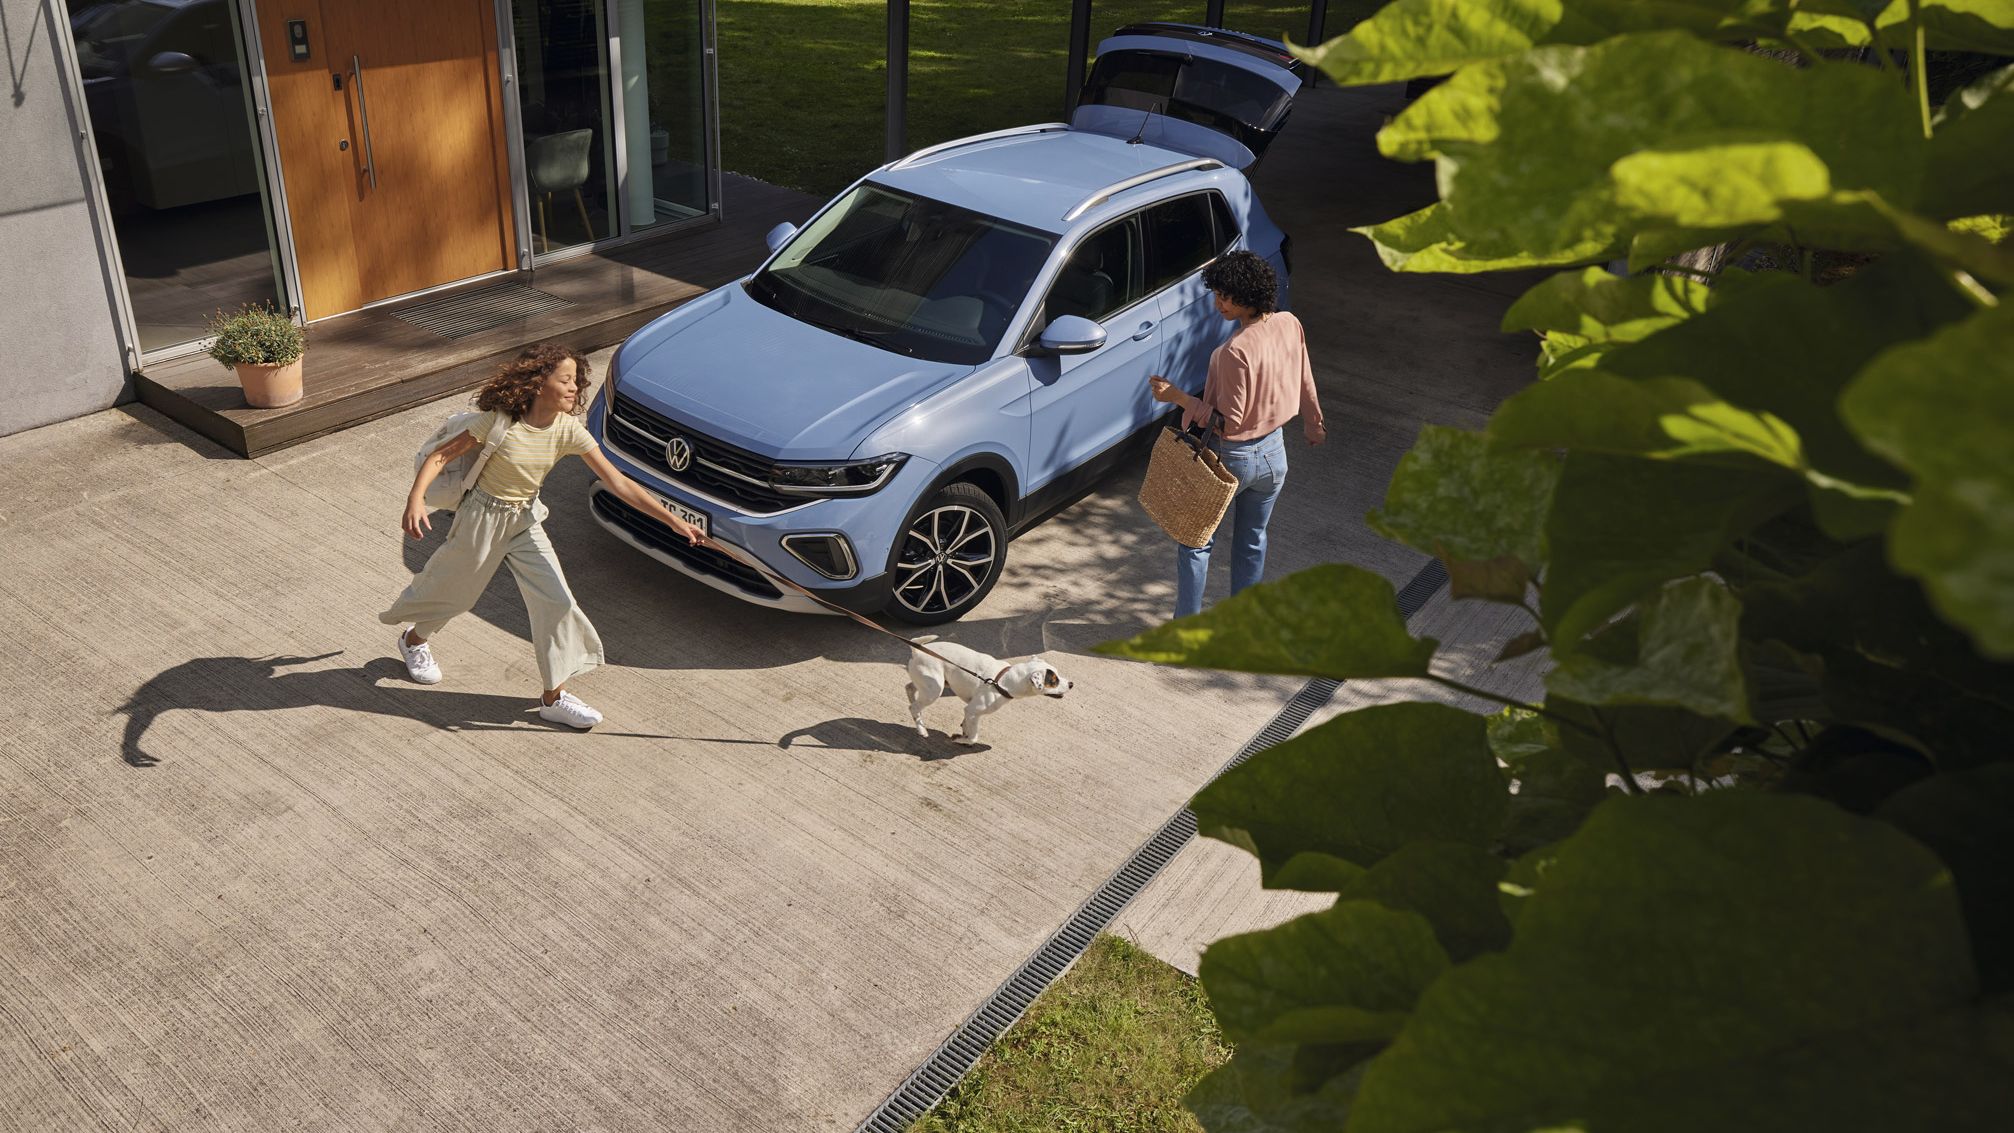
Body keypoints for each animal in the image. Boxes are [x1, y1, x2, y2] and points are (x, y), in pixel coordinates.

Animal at [910, 639, 1079, 744]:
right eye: (1054, 681)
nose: (1071, 684)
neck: (1003, 680)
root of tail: (917, 651)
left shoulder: (972, 712)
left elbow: (968, 726)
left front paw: (964, 731)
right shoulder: (973, 710)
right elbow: (974, 738)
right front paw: (962, 740)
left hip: (931, 684)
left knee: (909, 688)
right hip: (934, 690)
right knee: (913, 707)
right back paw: (921, 729)